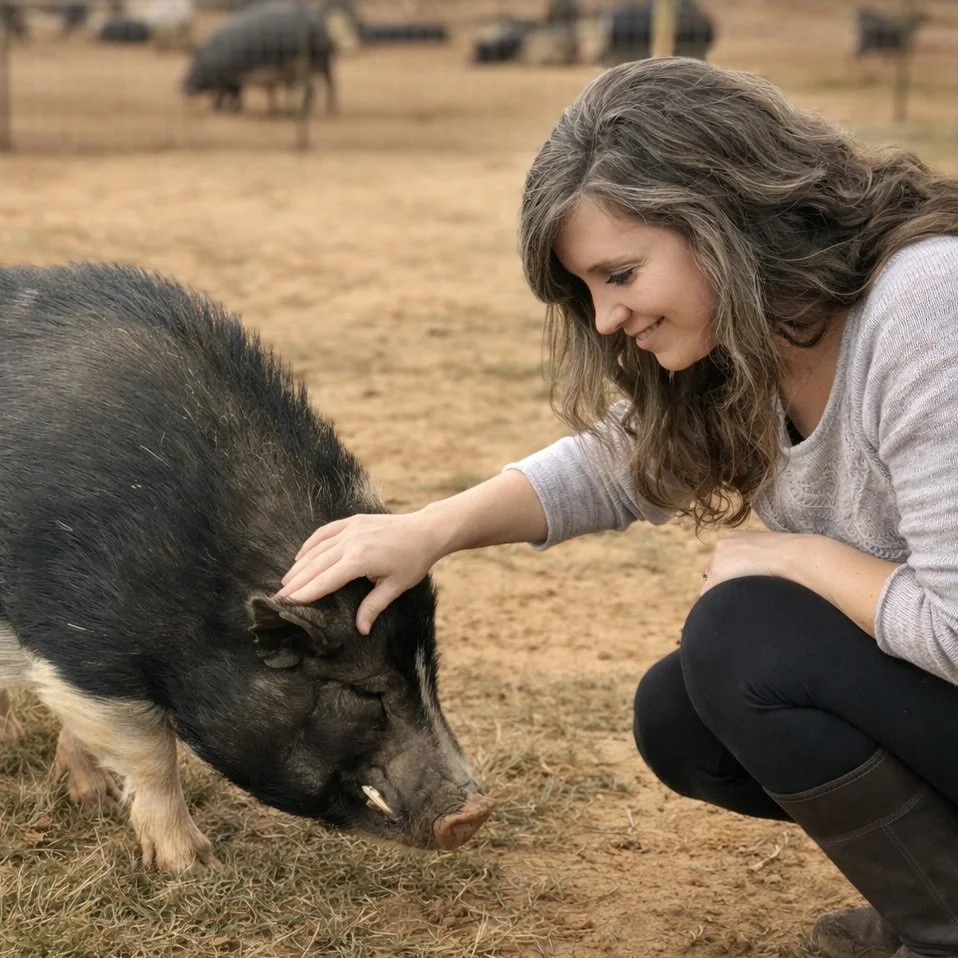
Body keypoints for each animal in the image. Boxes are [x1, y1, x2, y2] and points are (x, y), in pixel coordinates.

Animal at [0, 263, 493, 872]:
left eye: (432, 675)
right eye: (365, 692)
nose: (476, 812)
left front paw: (97, 800)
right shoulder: (83, 644)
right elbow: (150, 751)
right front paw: (193, 866)